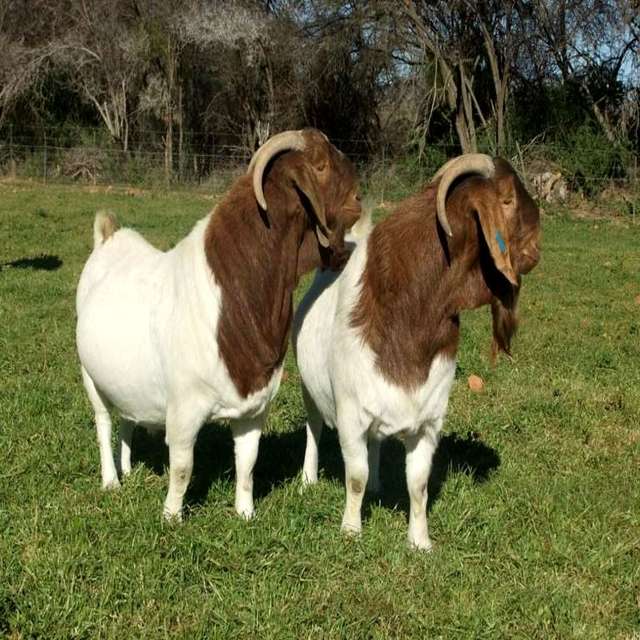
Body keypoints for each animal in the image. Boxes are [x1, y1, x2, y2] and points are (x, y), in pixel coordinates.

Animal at [76, 128, 362, 521]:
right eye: (319, 166)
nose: (359, 199)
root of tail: (108, 237)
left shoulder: (255, 408)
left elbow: (248, 462)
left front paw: (245, 513)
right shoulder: (184, 409)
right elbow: (183, 467)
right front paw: (171, 518)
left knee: (127, 420)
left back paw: (129, 469)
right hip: (89, 375)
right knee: (103, 421)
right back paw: (111, 481)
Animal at [292, 154, 541, 550]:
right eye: (506, 200)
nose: (537, 247)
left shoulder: (428, 421)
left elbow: (418, 484)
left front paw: (420, 541)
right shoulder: (350, 416)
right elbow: (355, 476)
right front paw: (351, 531)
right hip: (307, 386)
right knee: (314, 428)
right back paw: (308, 479)